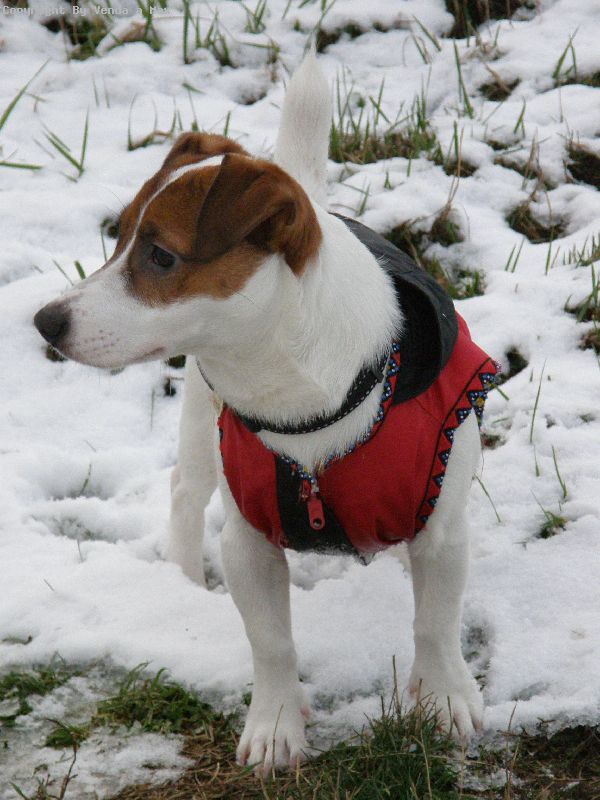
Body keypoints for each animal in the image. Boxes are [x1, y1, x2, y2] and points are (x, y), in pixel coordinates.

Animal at [34, 52, 497, 775]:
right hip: (201, 424)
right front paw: (277, 725)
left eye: (160, 254)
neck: (303, 406)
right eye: (117, 238)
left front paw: (444, 696)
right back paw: (184, 580)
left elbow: (436, 620)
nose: (45, 322)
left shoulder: (443, 526)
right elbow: (272, 641)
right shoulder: (249, 540)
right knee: (185, 490)